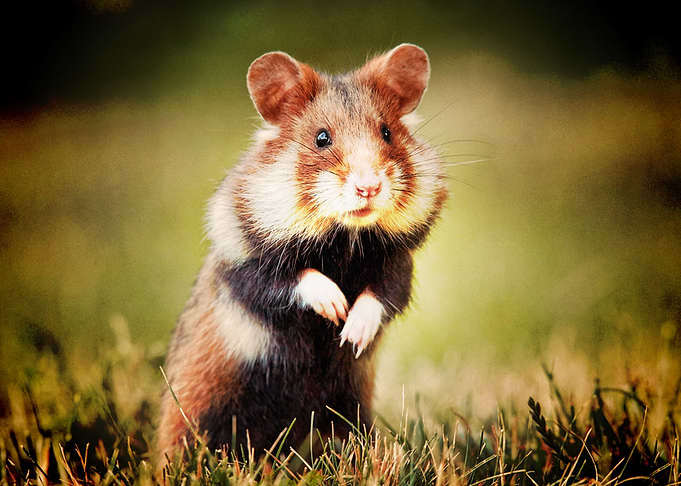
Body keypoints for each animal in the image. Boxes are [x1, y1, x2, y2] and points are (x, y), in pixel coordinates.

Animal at [156, 44, 448, 466]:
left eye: (387, 132)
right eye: (322, 138)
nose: (369, 187)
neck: (343, 239)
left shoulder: (398, 267)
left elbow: (381, 296)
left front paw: (350, 334)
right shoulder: (245, 264)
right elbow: (292, 279)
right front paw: (336, 308)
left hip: (349, 405)